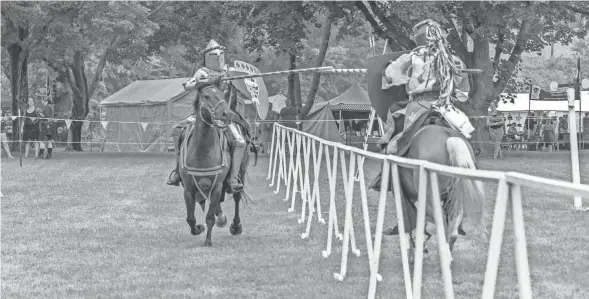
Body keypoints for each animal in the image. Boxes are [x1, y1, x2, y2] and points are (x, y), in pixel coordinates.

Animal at [180, 83, 256, 247]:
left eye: (223, 95)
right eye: (206, 96)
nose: (226, 114)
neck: (202, 153)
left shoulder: (217, 186)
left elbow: (209, 218)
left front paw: (208, 241)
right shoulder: (188, 189)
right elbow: (191, 218)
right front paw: (198, 228)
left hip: (239, 174)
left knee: (236, 197)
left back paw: (235, 226)